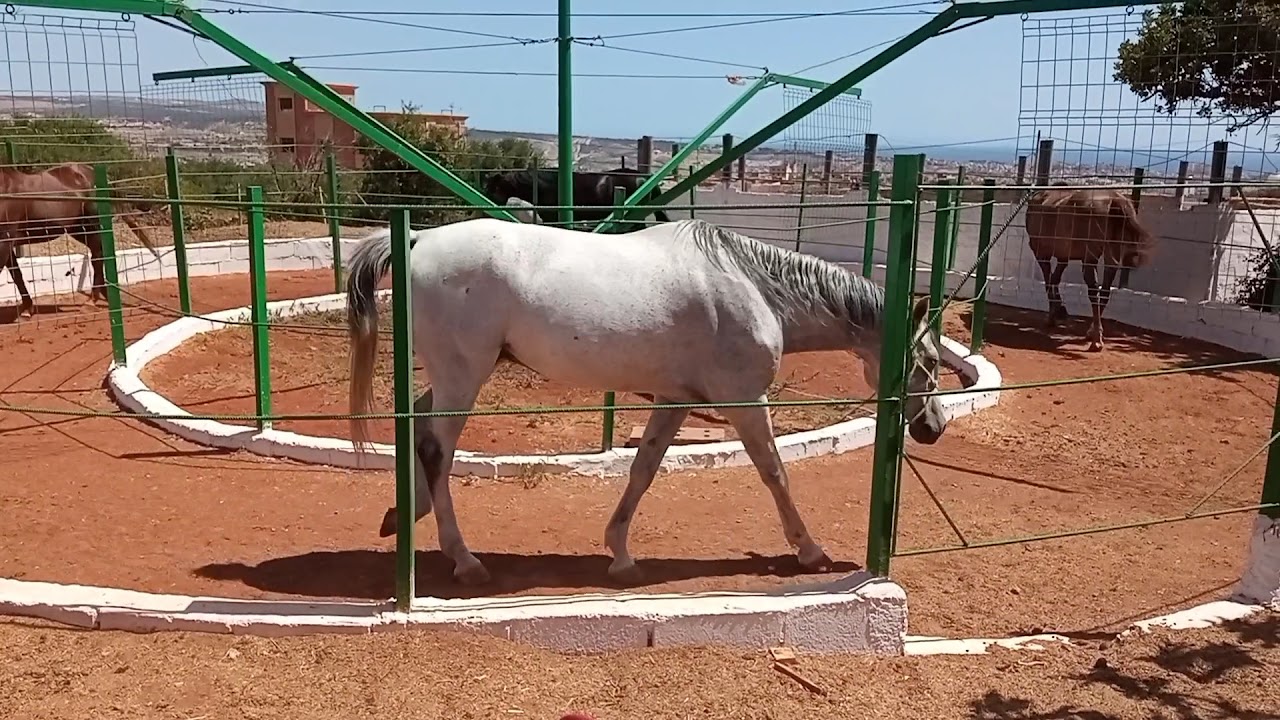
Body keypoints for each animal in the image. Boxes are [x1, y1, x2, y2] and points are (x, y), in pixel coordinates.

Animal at [0, 162, 162, 317]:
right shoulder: (7, 244)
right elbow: (16, 274)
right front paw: (28, 309)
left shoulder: (5, 243)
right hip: (79, 230)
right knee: (98, 257)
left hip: (92, 227)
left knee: (98, 258)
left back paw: (92, 301)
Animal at [345, 216, 950, 586]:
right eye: (931, 360)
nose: (933, 426)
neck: (754, 287)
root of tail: (418, 240)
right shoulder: (743, 399)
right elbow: (774, 471)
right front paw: (810, 551)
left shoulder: (675, 400)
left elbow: (643, 469)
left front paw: (620, 555)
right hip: (463, 378)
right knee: (436, 449)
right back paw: (464, 559)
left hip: (456, 377)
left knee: (419, 430)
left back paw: (405, 515)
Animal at [1023, 183, 1157, 352]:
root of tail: (1114, 199)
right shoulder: (1063, 257)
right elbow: (1055, 279)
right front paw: (1060, 310)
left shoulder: (1040, 252)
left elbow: (1049, 282)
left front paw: (1054, 315)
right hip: (1112, 254)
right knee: (1104, 291)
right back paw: (1092, 332)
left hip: (1090, 257)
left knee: (1094, 291)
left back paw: (1096, 340)